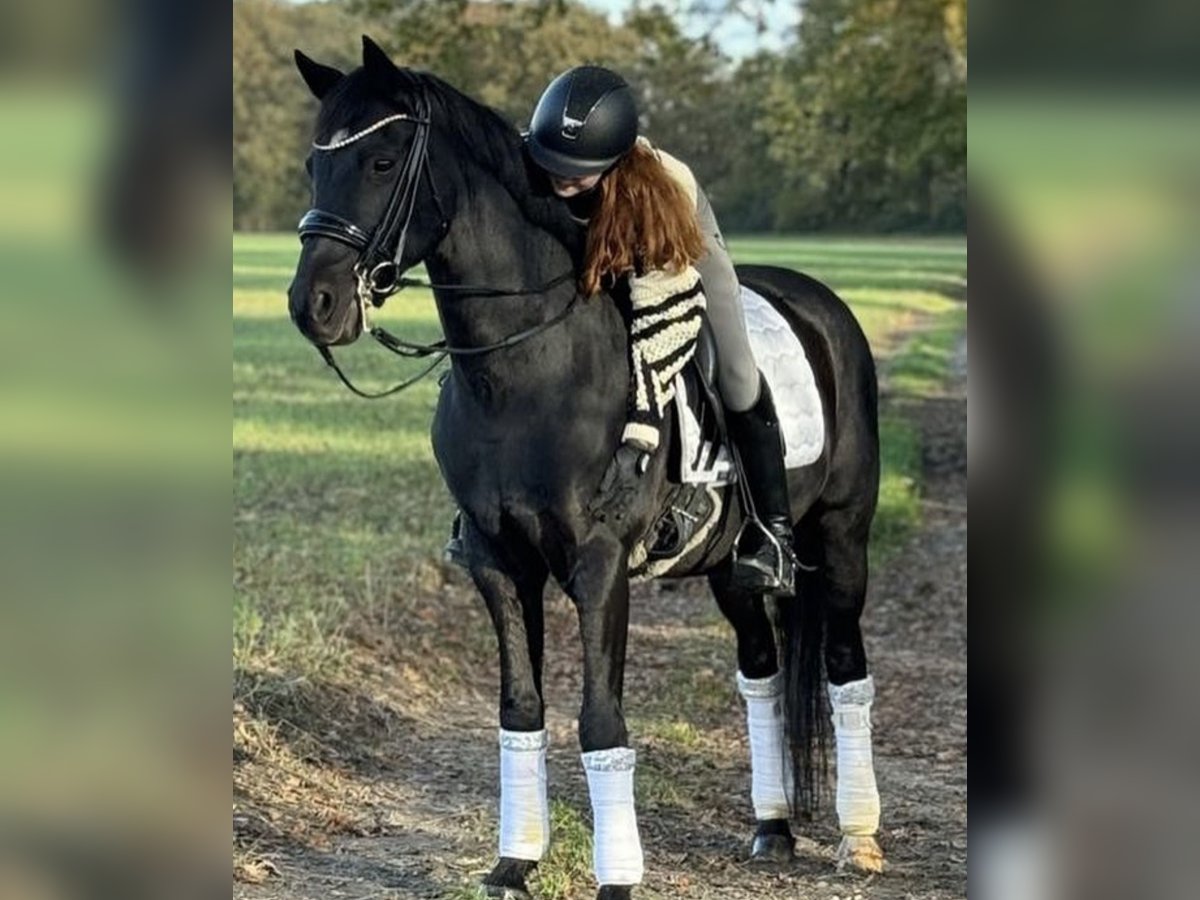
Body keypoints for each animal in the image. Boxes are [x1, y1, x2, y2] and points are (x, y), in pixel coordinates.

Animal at [288, 37, 883, 900]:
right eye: (313, 163)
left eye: (384, 159)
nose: (315, 306)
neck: (527, 370)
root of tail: (820, 303)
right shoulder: (499, 563)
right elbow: (520, 709)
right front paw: (513, 864)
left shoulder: (599, 567)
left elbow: (600, 720)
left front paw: (617, 878)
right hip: (731, 571)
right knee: (762, 669)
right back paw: (771, 827)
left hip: (839, 541)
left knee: (844, 666)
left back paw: (858, 838)